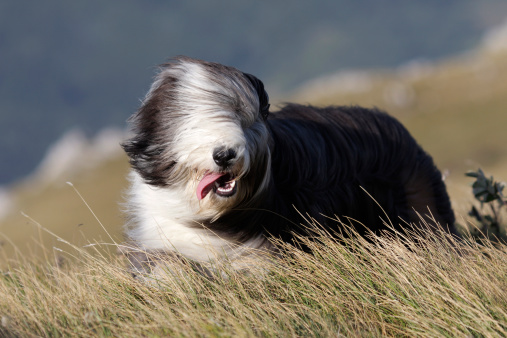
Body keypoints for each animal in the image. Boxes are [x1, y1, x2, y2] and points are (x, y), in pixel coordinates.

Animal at [121, 55, 458, 274]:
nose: (225, 154)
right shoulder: (159, 235)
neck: (210, 214)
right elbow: (164, 266)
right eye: (192, 123)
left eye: (243, 119)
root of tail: (397, 127)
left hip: (419, 212)